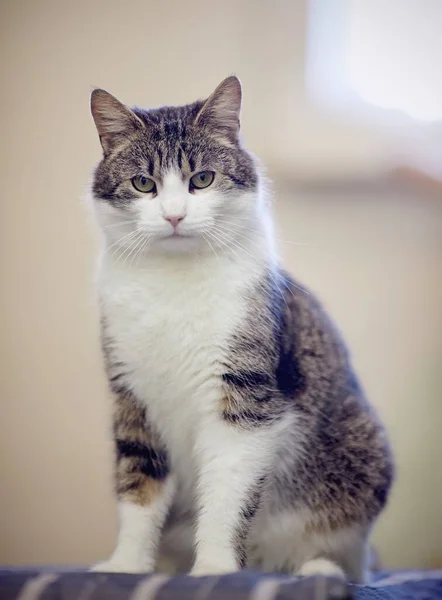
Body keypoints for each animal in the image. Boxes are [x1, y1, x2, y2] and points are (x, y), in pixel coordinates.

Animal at [87, 75, 394, 580]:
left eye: (203, 179)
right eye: (143, 183)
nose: (174, 215)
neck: (173, 283)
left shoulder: (244, 400)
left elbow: (226, 498)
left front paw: (214, 569)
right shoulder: (132, 399)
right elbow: (138, 487)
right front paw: (126, 566)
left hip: (359, 458)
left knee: (348, 557)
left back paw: (318, 571)